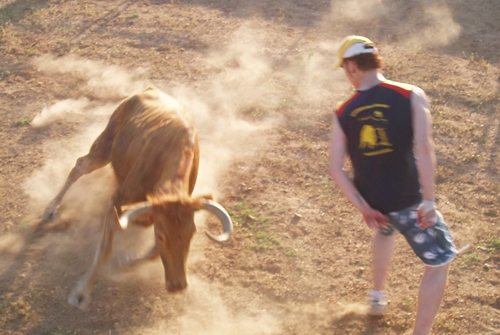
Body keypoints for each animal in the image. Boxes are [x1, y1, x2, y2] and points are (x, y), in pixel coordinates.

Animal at [40, 86, 232, 310]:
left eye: (191, 233)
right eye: (162, 236)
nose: (177, 285)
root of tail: (148, 89)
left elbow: (153, 253)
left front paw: (123, 262)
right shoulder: (118, 203)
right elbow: (105, 250)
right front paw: (81, 293)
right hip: (103, 147)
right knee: (79, 166)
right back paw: (50, 209)